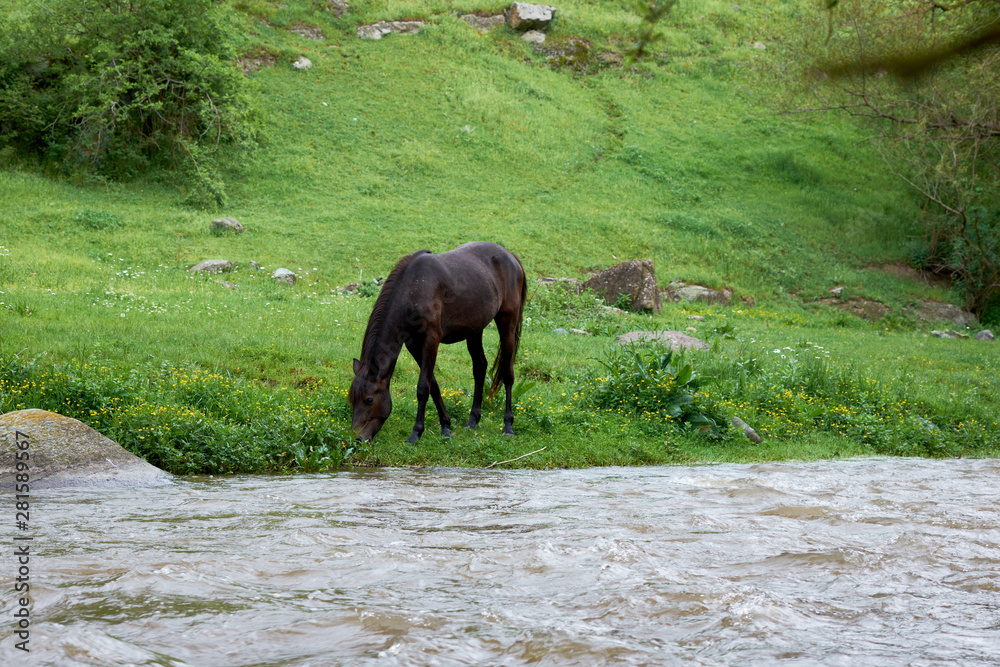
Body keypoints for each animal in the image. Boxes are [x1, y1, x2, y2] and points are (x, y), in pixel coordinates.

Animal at [350, 241, 528, 444]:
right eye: (352, 399)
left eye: (369, 400)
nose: (357, 438)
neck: (413, 289)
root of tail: (510, 256)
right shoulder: (413, 345)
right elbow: (433, 384)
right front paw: (446, 426)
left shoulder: (431, 340)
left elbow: (422, 387)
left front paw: (416, 433)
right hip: (475, 330)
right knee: (480, 367)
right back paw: (472, 420)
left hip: (507, 323)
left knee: (507, 372)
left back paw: (508, 425)